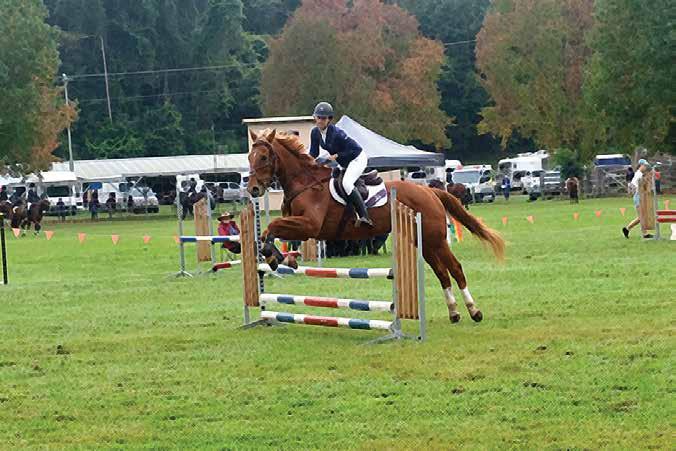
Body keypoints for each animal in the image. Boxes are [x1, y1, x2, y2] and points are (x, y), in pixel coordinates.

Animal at [247, 129, 505, 324]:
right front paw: (280, 258)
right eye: (250, 157)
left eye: (263, 157)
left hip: (436, 240)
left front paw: (274, 257)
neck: (307, 184)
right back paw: (454, 313)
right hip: (424, 242)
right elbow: (270, 232)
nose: (253, 189)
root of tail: (430, 191)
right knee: (442, 272)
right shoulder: (302, 228)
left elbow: (273, 226)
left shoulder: (310, 226)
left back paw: (474, 311)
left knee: (455, 268)